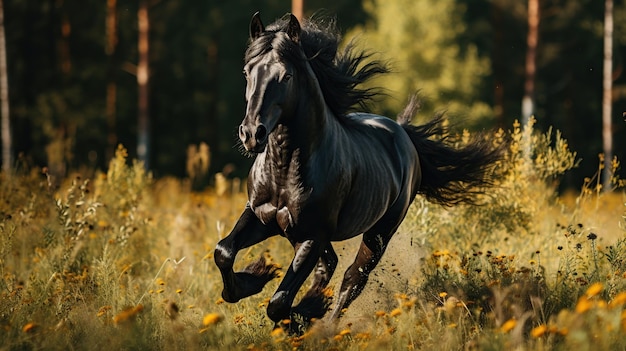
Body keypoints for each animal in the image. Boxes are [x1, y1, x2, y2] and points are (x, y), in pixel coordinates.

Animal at [212, 13, 500, 332]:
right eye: (247, 72)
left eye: (286, 76)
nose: (252, 134)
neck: (285, 169)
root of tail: (404, 134)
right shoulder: (261, 216)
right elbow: (224, 251)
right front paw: (255, 277)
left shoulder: (313, 234)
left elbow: (280, 302)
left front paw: (301, 313)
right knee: (330, 266)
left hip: (379, 233)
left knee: (353, 277)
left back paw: (325, 324)